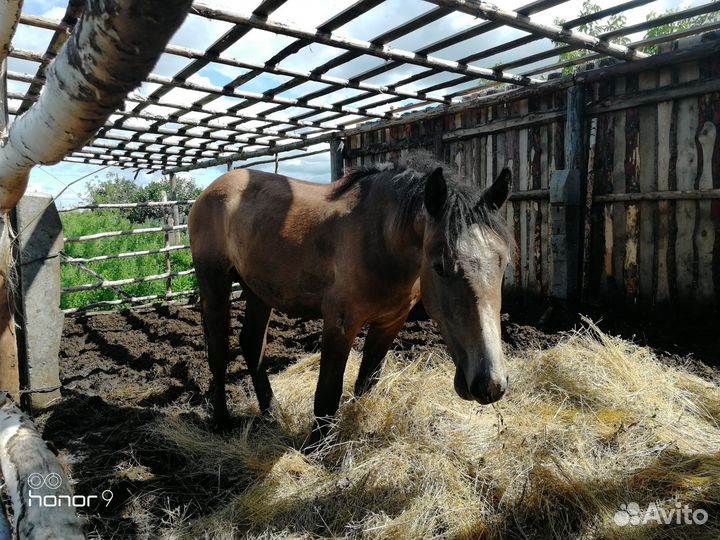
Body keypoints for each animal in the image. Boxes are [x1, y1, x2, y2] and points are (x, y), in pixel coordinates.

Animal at [188, 153, 513, 447]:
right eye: (440, 266)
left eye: (503, 262)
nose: (490, 385)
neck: (379, 238)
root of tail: (213, 189)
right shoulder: (340, 323)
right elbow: (328, 394)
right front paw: (314, 450)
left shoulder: (389, 323)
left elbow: (366, 383)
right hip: (214, 282)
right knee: (218, 352)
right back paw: (221, 422)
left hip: (258, 290)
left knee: (252, 344)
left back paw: (271, 413)